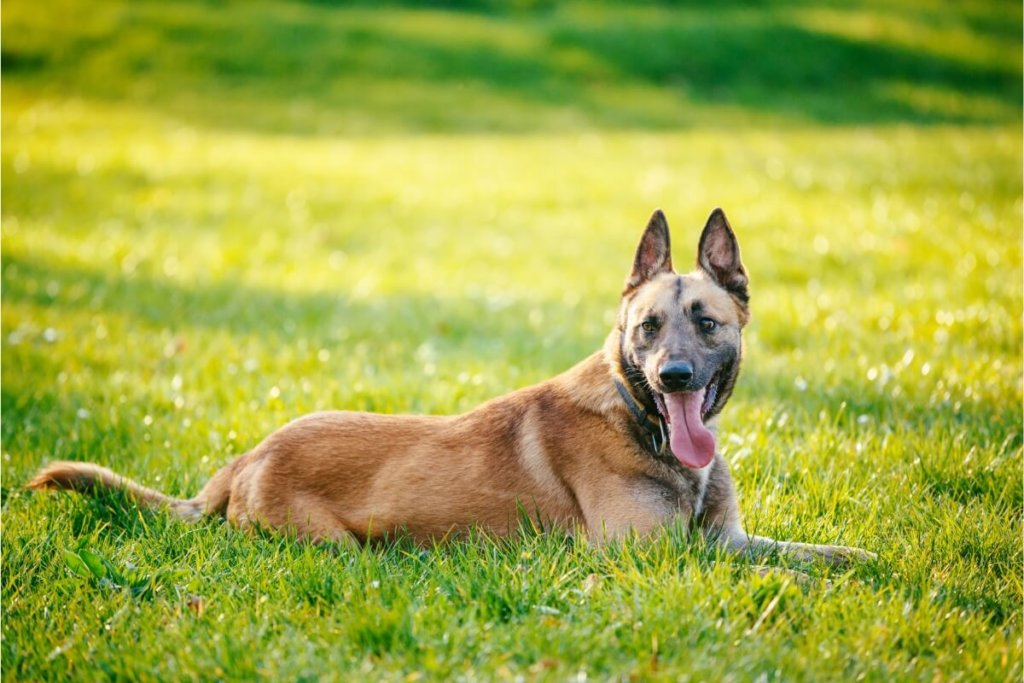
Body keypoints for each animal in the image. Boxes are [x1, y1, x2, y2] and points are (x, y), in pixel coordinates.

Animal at [28, 209, 872, 565]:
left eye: (706, 321)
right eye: (647, 329)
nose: (674, 376)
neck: (642, 421)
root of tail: (245, 458)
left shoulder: (724, 538)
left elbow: (814, 554)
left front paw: (867, 561)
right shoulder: (653, 557)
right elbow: (771, 568)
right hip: (332, 545)